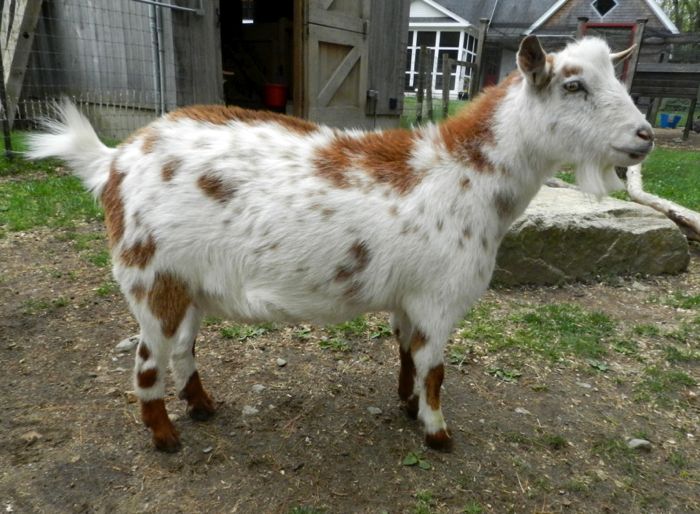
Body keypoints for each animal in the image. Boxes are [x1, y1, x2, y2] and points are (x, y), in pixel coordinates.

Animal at [24, 36, 652, 450]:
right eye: (573, 85)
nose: (644, 135)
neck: (466, 174)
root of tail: (113, 161)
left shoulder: (410, 298)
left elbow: (407, 354)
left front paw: (406, 407)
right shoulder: (439, 298)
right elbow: (435, 368)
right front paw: (438, 433)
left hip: (189, 283)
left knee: (182, 350)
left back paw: (202, 408)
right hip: (152, 278)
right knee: (147, 361)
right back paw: (165, 439)